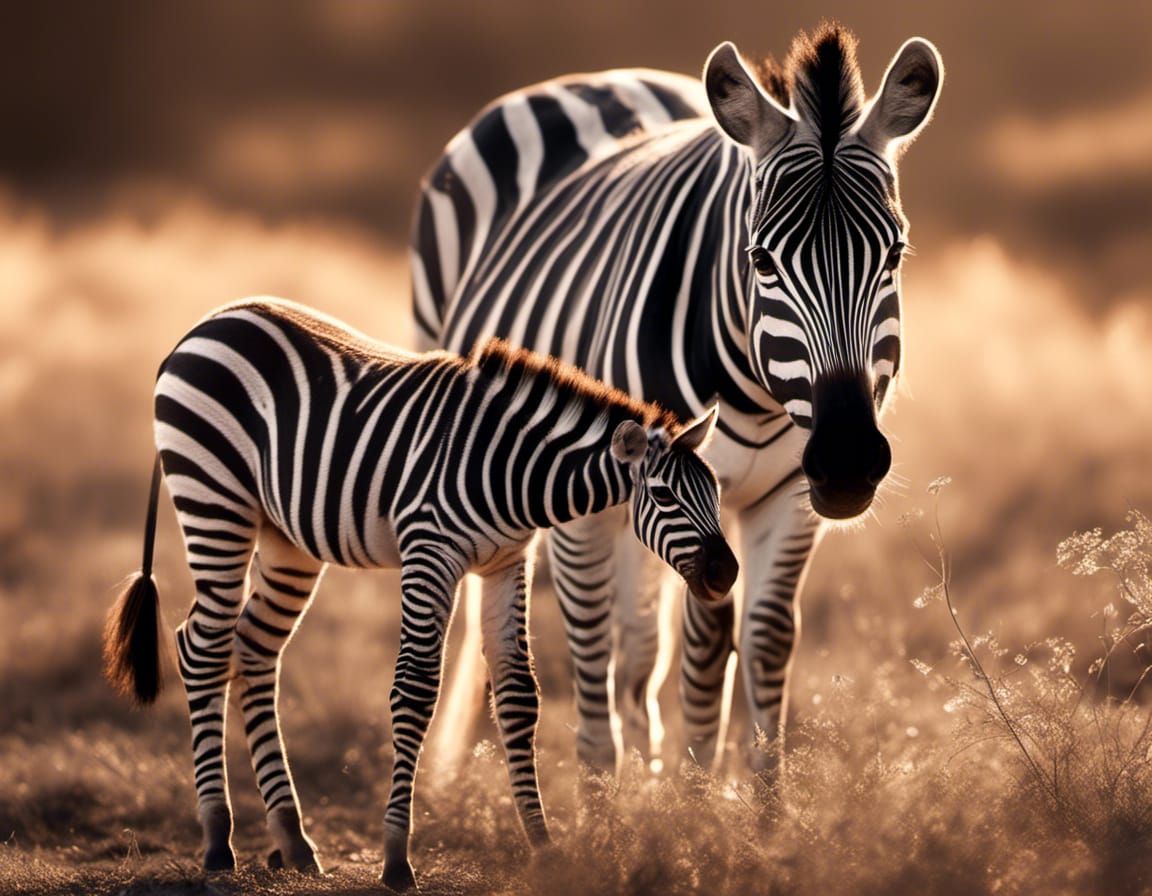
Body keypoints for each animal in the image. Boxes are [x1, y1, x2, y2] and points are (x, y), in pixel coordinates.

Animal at [102, 297, 736, 890]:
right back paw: (216, 840)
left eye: (715, 491)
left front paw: (543, 847)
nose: (726, 574)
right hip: (215, 502)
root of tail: (207, 321)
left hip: (286, 541)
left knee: (254, 652)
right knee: (202, 648)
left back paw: (293, 839)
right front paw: (396, 857)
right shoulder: (430, 552)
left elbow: (517, 696)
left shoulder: (508, 563)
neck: (510, 469)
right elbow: (415, 690)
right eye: (664, 495)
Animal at [412, 23, 943, 774]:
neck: (753, 393)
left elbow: (753, 642)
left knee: (643, 640)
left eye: (893, 255)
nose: (845, 463)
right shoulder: (585, 506)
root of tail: (601, 78)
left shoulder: (785, 496)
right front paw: (621, 795)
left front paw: (737, 797)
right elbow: (609, 649)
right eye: (761, 261)